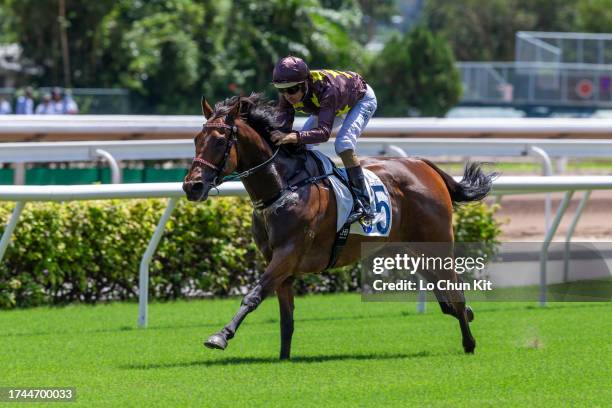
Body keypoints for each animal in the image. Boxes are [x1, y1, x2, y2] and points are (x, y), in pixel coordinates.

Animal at [183, 94, 498, 358]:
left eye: (220, 141)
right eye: (197, 139)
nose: (191, 186)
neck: (283, 186)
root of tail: (424, 165)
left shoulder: (288, 254)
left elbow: (253, 295)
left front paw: (220, 336)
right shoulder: (278, 262)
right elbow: (286, 317)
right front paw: (284, 357)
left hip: (438, 246)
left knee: (455, 292)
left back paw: (469, 343)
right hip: (411, 251)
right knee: (447, 298)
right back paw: (468, 316)